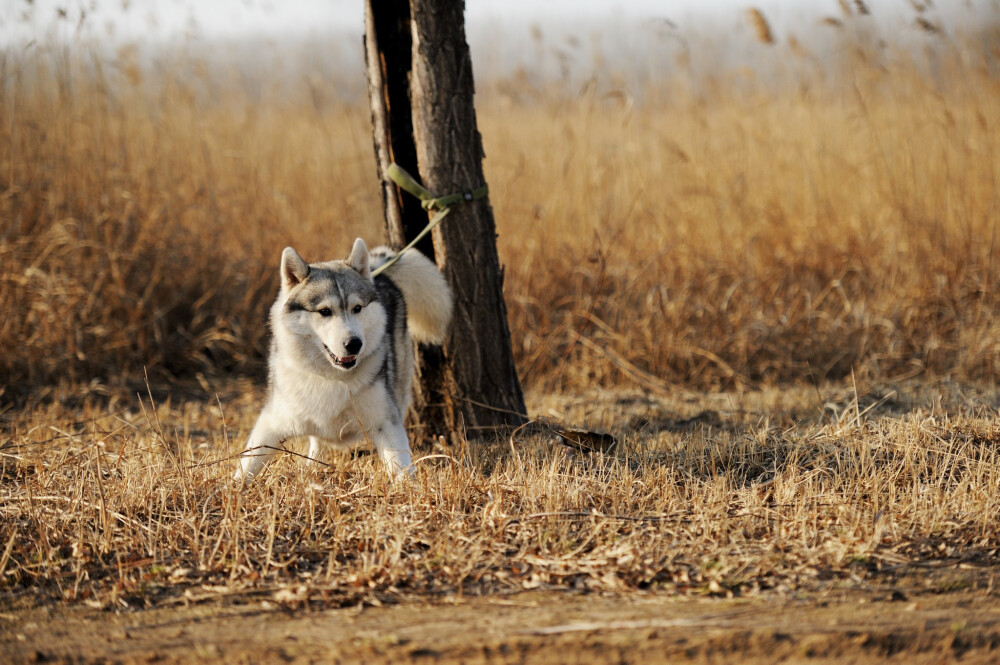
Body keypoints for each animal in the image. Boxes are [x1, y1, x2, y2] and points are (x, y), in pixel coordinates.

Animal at [232, 239, 452, 482]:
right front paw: (233, 487)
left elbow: (401, 466)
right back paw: (312, 465)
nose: (354, 343)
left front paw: (408, 487)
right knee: (316, 441)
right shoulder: (272, 422)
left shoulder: (386, 422)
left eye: (357, 308)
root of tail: (378, 272)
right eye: (325, 311)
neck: (333, 377)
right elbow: (248, 463)